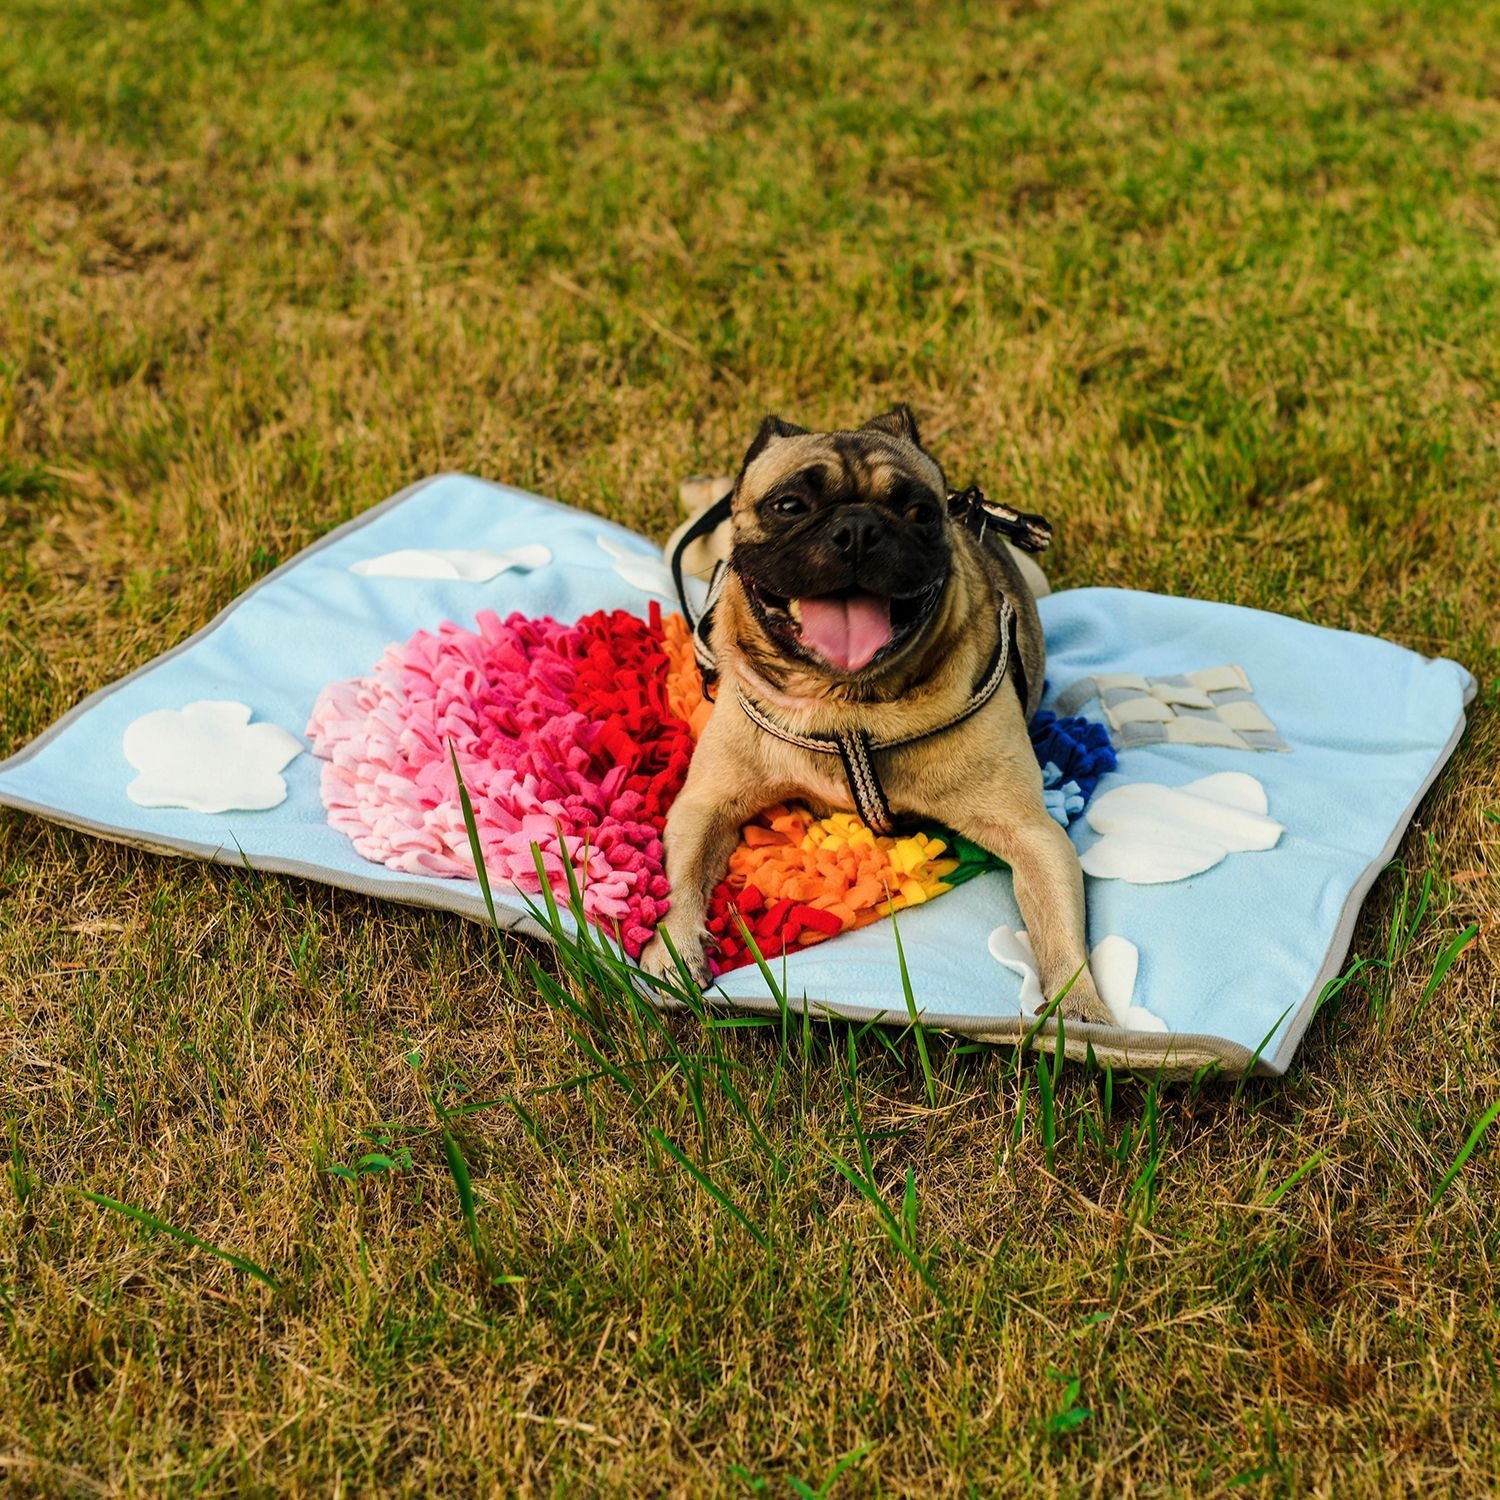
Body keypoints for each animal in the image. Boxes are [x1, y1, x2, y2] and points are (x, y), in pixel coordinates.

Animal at [639, 405, 1110, 1026]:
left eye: (921, 513)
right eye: (788, 505)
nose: (859, 528)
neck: (844, 704)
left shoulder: (1033, 836)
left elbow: (1060, 929)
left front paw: (1079, 1012)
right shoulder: (705, 807)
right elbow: (683, 877)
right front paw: (675, 945)